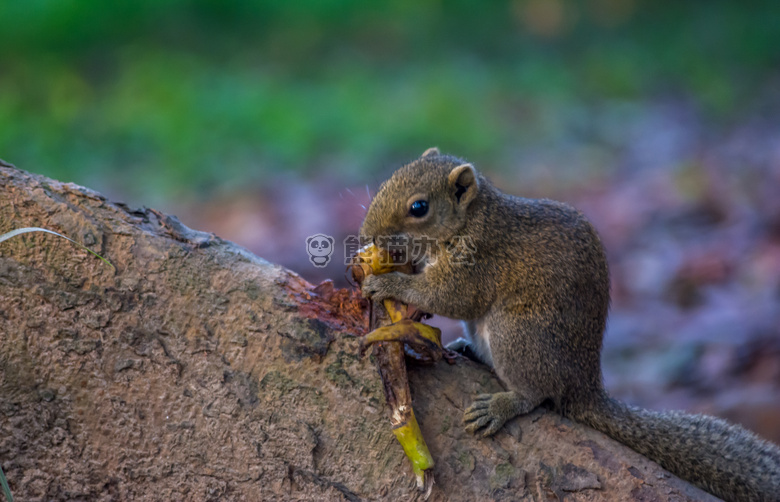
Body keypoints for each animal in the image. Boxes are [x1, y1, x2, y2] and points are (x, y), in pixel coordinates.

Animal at [360, 148, 780, 502]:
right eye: (389, 179)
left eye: (419, 207)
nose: (366, 234)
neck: (471, 220)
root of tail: (584, 385)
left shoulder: (478, 264)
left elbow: (450, 297)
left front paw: (389, 283)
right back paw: (464, 349)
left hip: (518, 334)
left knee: (538, 392)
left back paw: (502, 405)